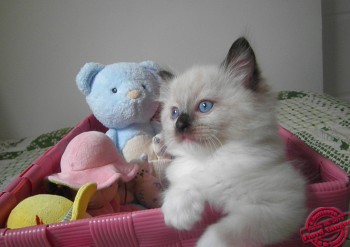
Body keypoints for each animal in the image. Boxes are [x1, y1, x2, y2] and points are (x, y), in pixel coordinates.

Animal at [160, 37, 304, 247]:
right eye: (175, 113)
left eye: (204, 106)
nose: (180, 125)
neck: (213, 157)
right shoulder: (185, 174)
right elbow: (183, 184)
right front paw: (179, 217)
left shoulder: (279, 206)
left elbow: (224, 231)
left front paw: (205, 243)